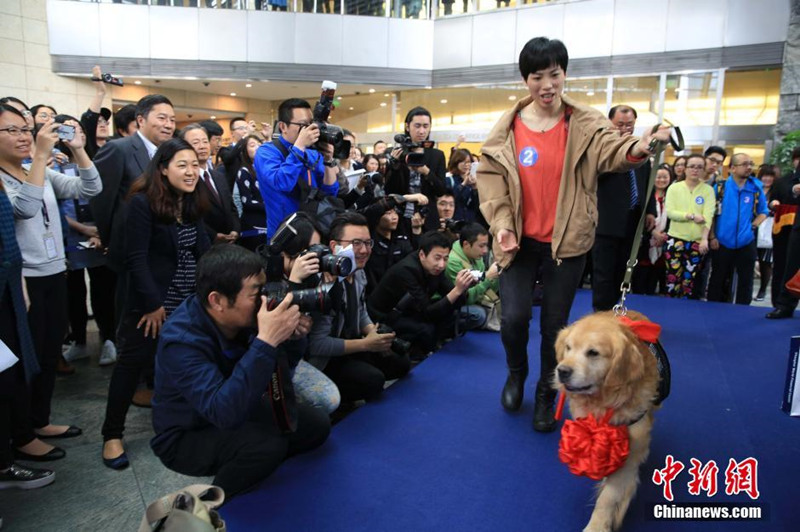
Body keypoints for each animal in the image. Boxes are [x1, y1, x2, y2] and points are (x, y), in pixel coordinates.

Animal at [552, 310, 660, 532]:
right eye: (568, 347)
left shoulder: (630, 451)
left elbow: (609, 498)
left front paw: (597, 526)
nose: (562, 371)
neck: (604, 401)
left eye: (593, 353)